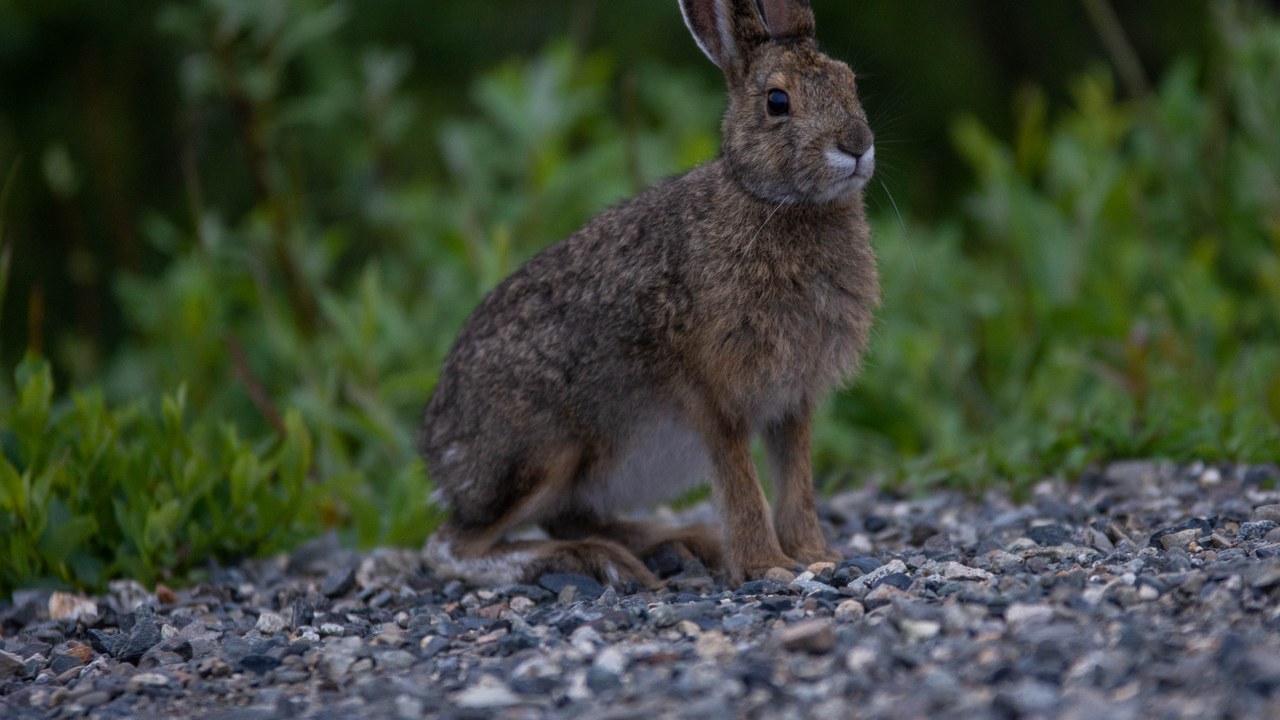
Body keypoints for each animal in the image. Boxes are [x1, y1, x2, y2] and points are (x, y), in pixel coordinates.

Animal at [419, 0, 878, 588]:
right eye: (778, 101)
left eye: (850, 82)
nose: (857, 145)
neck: (773, 201)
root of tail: (437, 453)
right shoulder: (713, 393)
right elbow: (742, 484)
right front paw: (768, 566)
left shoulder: (792, 399)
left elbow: (795, 481)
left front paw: (817, 555)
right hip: (543, 454)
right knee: (451, 546)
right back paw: (598, 560)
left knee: (565, 517)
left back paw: (673, 545)